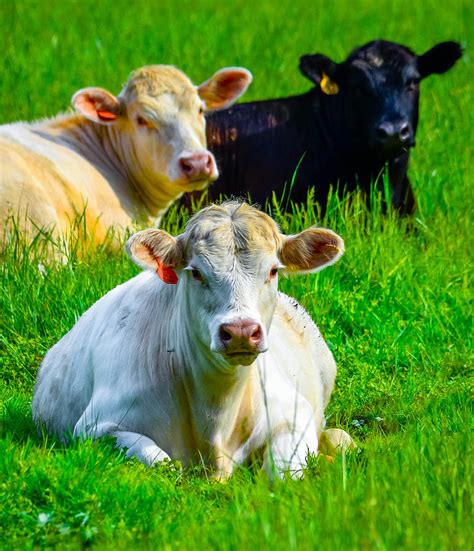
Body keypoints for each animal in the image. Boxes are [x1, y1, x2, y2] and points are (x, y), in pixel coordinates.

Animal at [32, 203, 352, 478]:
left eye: (273, 271)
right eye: (196, 272)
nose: (240, 331)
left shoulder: (294, 414)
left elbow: (283, 474)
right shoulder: (95, 427)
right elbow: (161, 462)